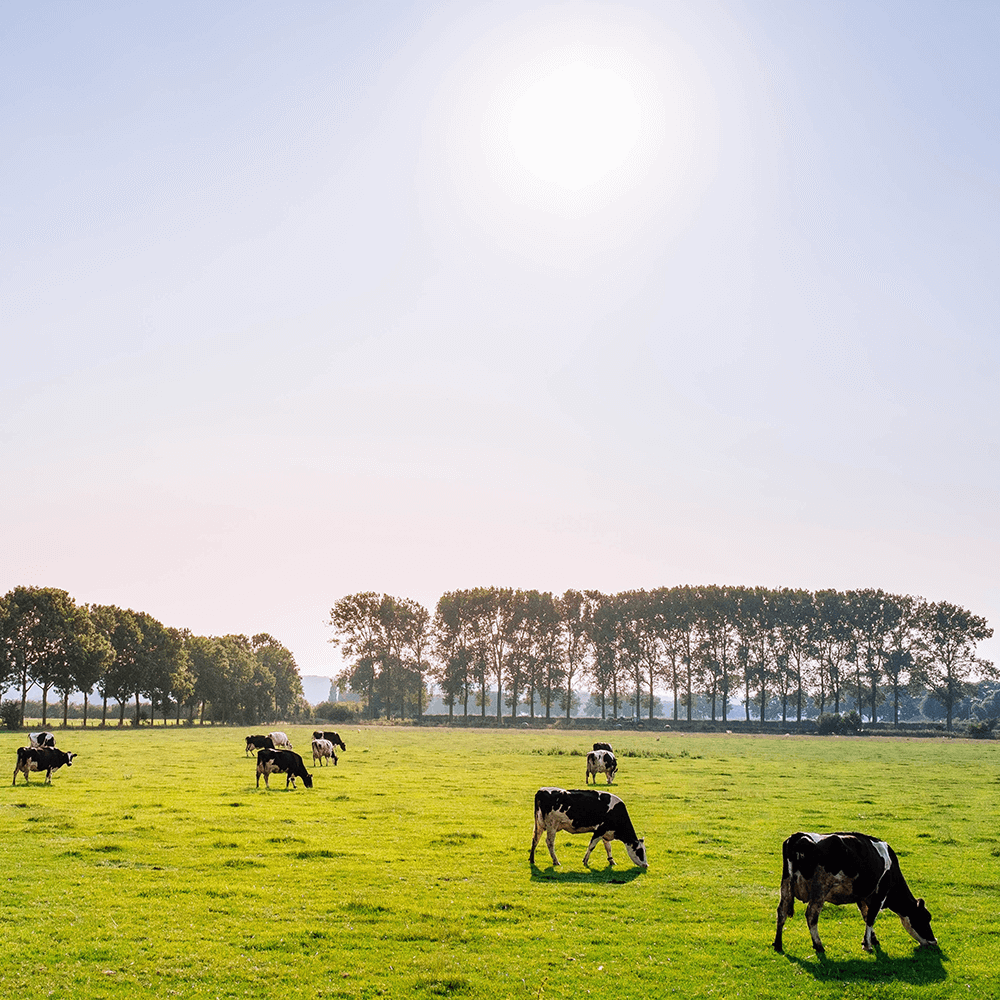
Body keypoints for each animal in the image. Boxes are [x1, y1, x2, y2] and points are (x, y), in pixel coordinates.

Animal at [772, 832, 936, 956]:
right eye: (925, 918)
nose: (934, 941)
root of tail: (798, 836)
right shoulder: (879, 895)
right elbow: (871, 918)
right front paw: (868, 945)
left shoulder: (862, 897)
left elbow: (865, 915)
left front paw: (872, 939)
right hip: (820, 889)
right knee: (811, 915)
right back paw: (819, 945)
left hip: (786, 885)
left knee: (782, 911)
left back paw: (778, 944)